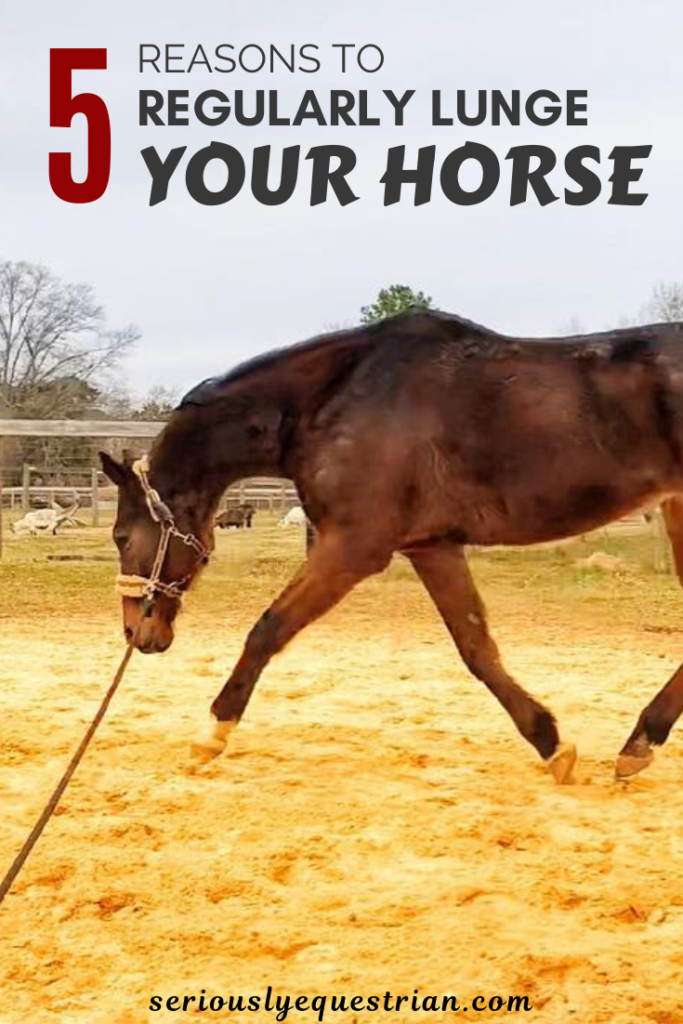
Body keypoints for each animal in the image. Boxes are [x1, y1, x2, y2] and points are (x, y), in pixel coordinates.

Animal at [100, 310, 683, 783]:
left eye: (121, 535)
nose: (138, 633)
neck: (331, 402)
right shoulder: (432, 547)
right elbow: (477, 649)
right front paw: (552, 745)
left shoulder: (353, 547)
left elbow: (266, 630)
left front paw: (209, 737)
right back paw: (638, 744)